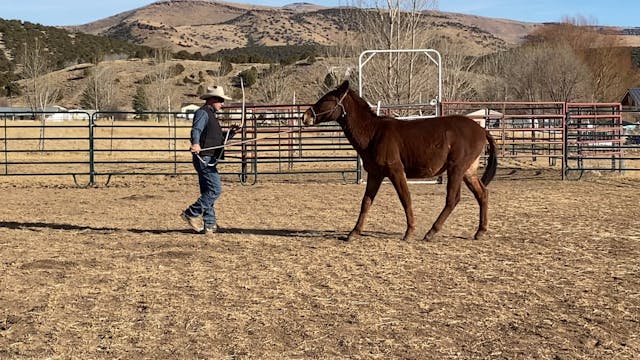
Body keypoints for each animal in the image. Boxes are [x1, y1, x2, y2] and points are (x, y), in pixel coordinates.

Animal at [302, 80, 498, 240]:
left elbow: (405, 198)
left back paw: (431, 232)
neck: (374, 133)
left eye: (326, 100)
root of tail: (482, 130)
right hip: (468, 171)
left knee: (453, 199)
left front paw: (409, 231)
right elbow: (366, 202)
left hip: (456, 168)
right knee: (482, 194)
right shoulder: (375, 174)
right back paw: (480, 231)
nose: (305, 116)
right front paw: (354, 232)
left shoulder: (396, 171)